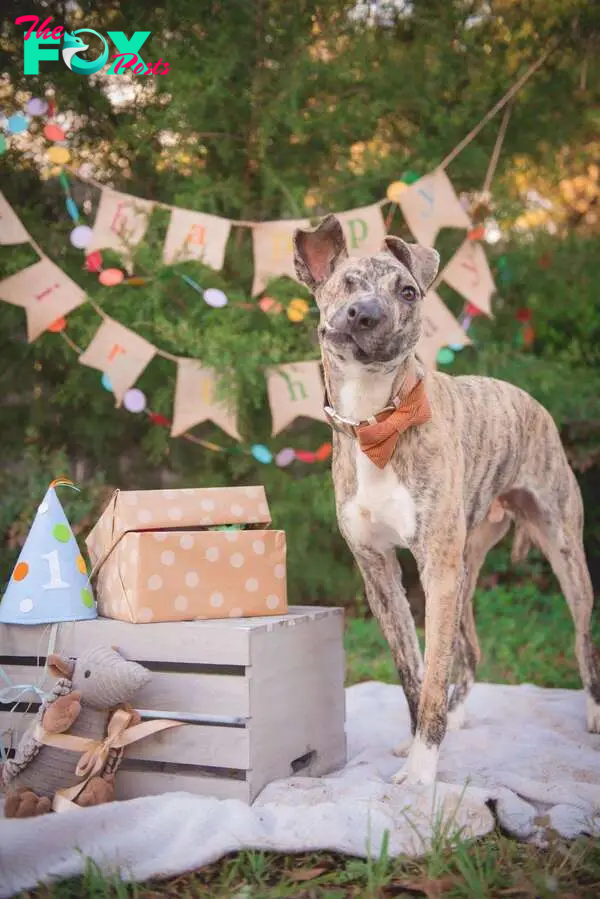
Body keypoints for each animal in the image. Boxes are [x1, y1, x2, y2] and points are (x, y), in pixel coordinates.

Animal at [292, 214, 600, 784]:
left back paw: (592, 712)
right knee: (470, 651)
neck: (377, 422)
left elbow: (432, 674)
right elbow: (413, 671)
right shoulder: (379, 574)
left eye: (408, 292)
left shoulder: (435, 569)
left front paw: (421, 772)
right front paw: (417, 741)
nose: (365, 313)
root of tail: (526, 397)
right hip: (467, 569)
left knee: (581, 638)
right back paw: (456, 718)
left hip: (563, 553)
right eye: (346, 283)